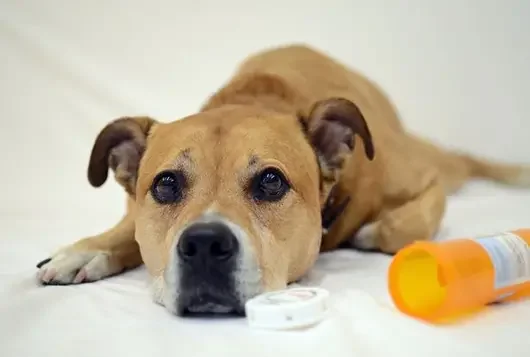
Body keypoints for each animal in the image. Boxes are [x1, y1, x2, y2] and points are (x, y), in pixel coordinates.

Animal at [36, 43, 528, 314]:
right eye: (165, 184)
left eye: (271, 181)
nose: (204, 244)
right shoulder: (136, 202)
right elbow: (127, 228)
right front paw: (85, 251)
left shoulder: (423, 182)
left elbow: (407, 222)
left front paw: (372, 233)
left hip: (440, 160)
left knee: (469, 162)